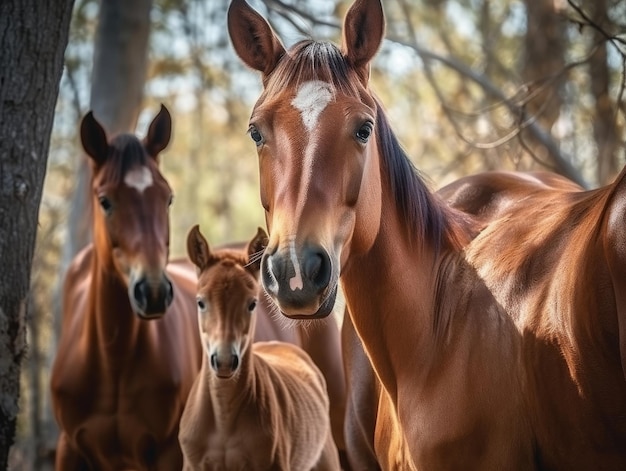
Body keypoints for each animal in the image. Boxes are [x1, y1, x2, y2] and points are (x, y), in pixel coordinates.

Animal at [51, 105, 202, 470]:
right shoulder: (68, 448)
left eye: (168, 198)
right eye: (105, 201)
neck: (113, 360)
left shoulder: (170, 453)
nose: (154, 292)